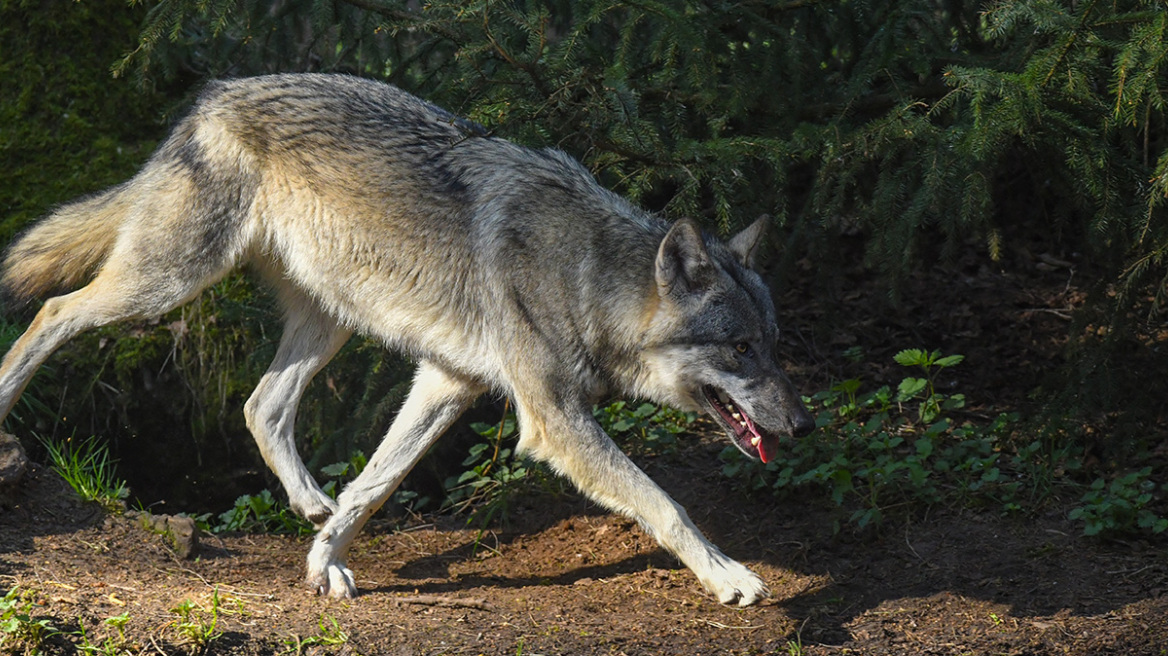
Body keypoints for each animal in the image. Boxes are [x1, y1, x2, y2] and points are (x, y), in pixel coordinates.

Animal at [0, 71, 817, 602]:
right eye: (740, 349)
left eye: (774, 343)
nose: (805, 424)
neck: (584, 273)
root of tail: (209, 97)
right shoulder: (553, 420)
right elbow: (664, 503)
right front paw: (730, 576)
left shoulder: (447, 382)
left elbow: (374, 484)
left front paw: (324, 561)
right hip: (167, 284)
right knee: (53, 312)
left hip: (327, 320)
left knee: (261, 404)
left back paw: (309, 502)